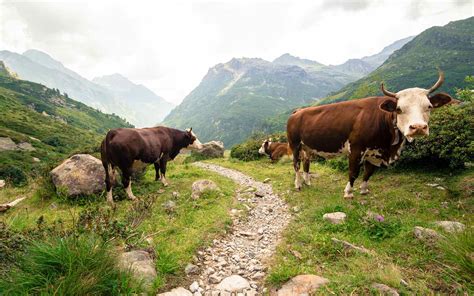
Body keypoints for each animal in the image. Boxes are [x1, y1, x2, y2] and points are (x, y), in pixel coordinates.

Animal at [286, 70, 454, 198]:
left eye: (429, 106)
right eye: (399, 109)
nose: (418, 127)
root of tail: (298, 111)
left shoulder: (375, 152)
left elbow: (368, 172)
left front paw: (364, 190)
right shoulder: (356, 148)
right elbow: (354, 171)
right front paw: (348, 192)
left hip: (307, 146)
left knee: (306, 162)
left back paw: (307, 182)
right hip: (294, 144)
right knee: (296, 164)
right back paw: (298, 184)